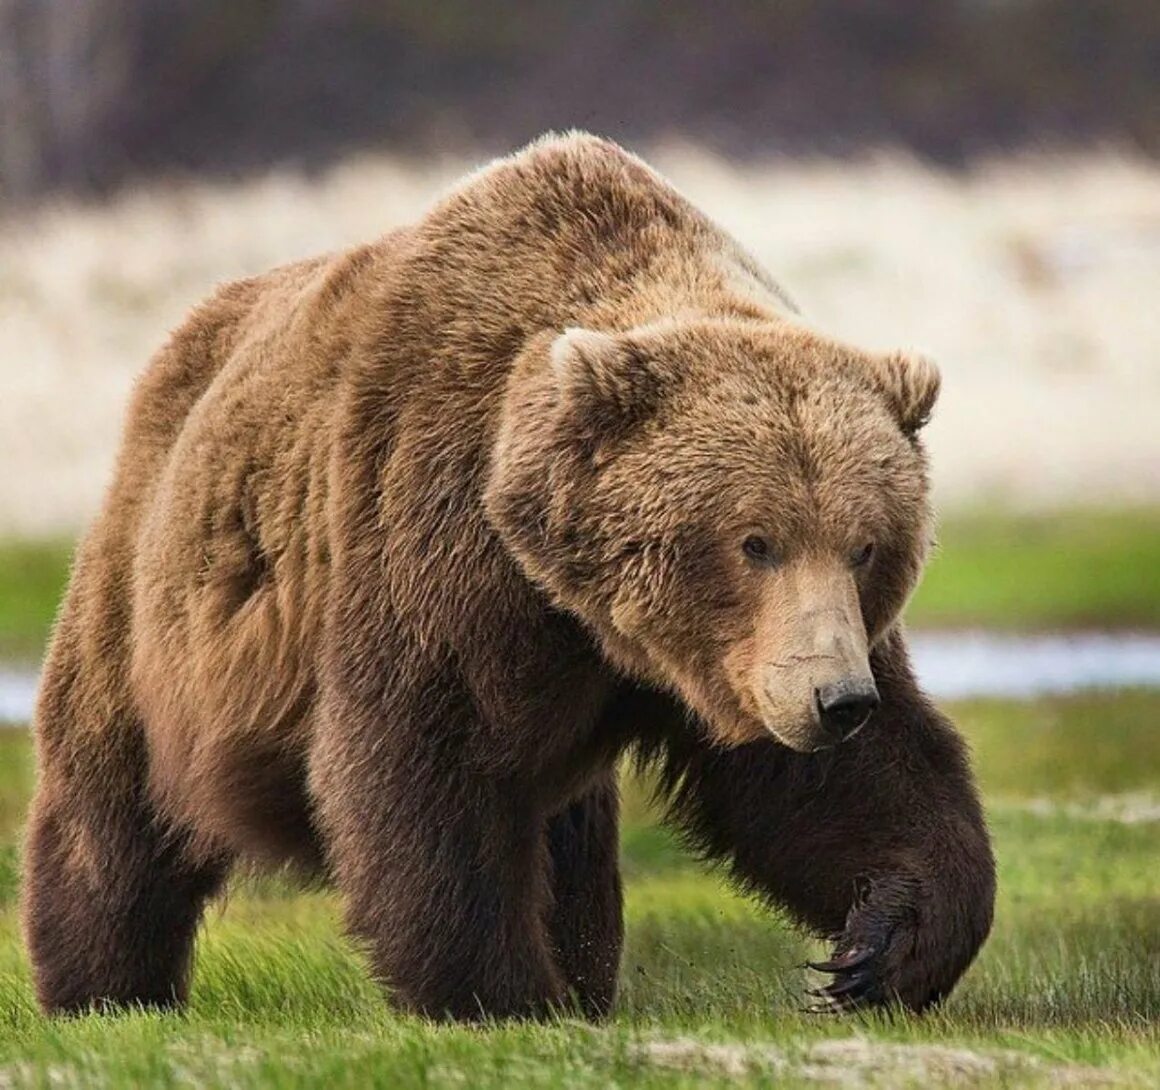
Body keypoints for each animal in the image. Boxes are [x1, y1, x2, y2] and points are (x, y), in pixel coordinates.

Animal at [22, 133, 992, 1020]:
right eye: (755, 541)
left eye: (866, 545)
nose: (837, 701)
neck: (577, 603)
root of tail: (182, 341)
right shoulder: (435, 536)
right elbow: (428, 766)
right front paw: (503, 994)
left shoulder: (745, 653)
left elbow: (838, 784)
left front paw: (880, 945)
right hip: (152, 590)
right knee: (113, 800)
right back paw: (102, 985)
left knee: (570, 833)